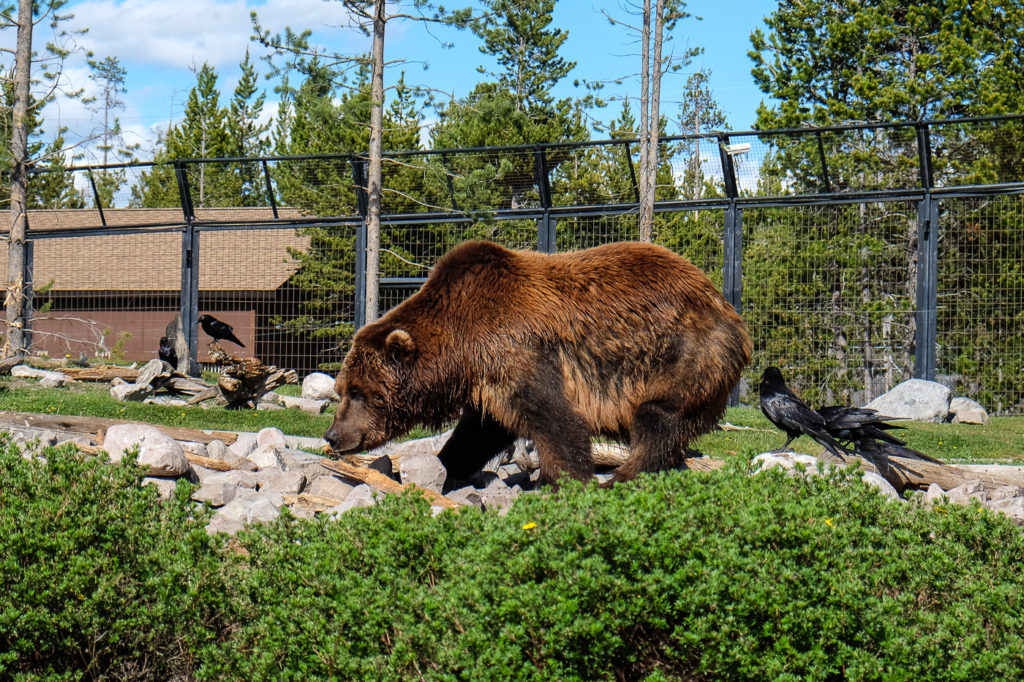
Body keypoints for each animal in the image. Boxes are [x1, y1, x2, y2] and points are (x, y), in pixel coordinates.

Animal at [327, 238, 753, 483]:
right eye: (341, 390)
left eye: (359, 392)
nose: (333, 435)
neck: (461, 345)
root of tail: (725, 305)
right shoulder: (489, 384)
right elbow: (478, 434)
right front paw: (446, 467)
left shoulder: (519, 352)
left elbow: (555, 420)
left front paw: (565, 482)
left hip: (683, 354)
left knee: (657, 418)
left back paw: (623, 475)